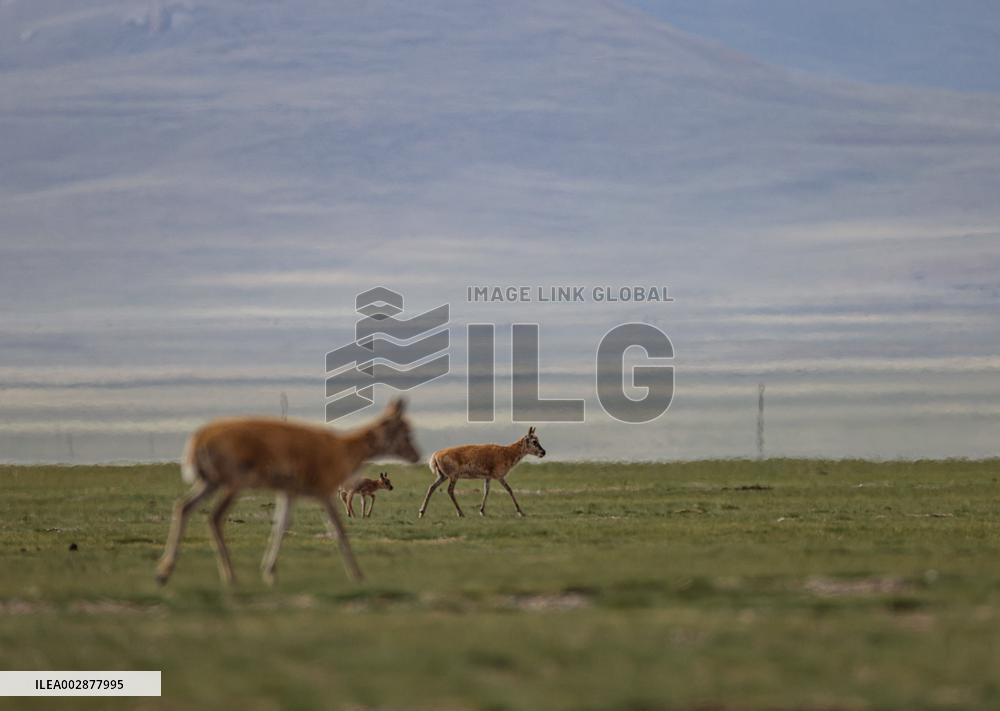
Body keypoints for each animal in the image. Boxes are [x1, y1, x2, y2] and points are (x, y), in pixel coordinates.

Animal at [155, 398, 419, 586]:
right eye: (406, 430)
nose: (416, 455)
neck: (341, 448)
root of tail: (198, 439)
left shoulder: (289, 493)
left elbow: (281, 525)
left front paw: (269, 571)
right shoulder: (324, 493)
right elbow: (339, 529)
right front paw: (358, 574)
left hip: (210, 483)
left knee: (183, 507)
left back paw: (164, 573)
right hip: (232, 484)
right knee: (214, 517)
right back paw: (230, 576)